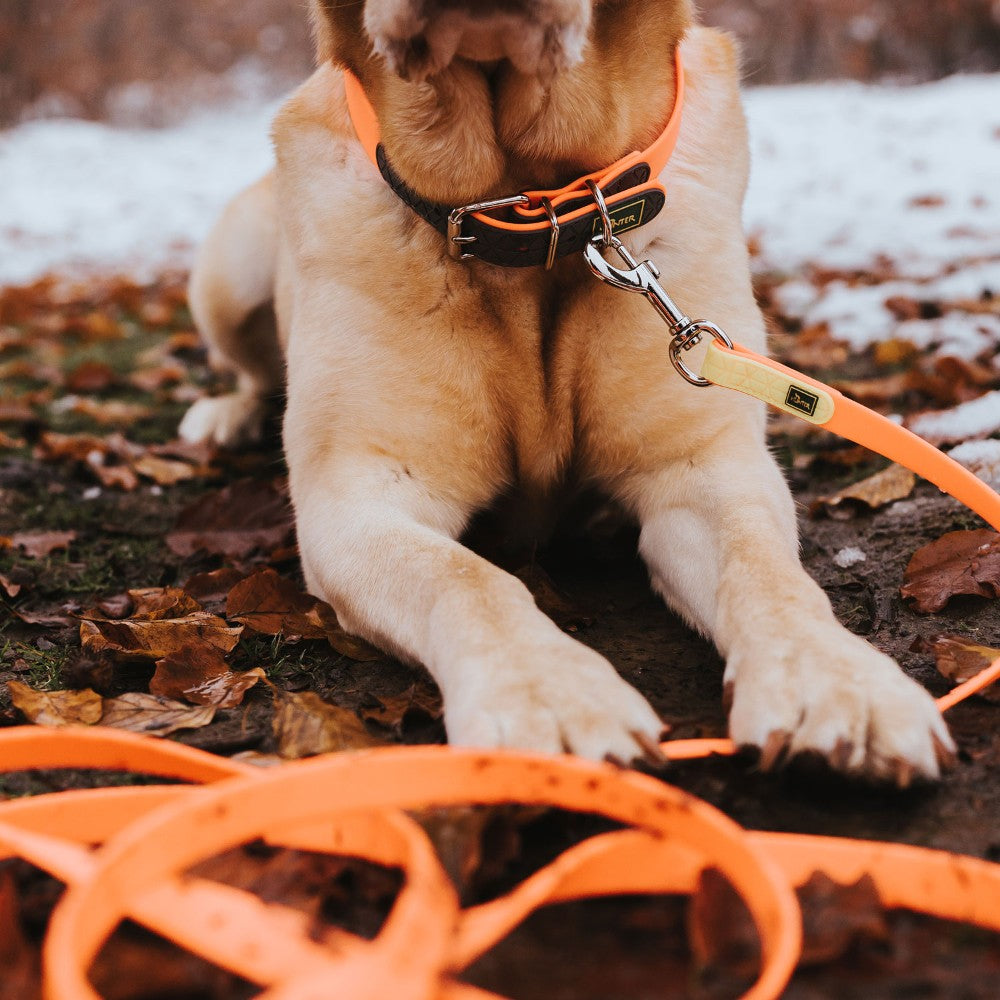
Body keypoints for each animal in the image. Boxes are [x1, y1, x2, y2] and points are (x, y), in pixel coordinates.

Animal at [180, 0, 952, 780]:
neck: (534, 213)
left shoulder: (701, 465)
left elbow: (764, 568)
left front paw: (837, 680)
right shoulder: (357, 493)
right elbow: (468, 579)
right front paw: (548, 695)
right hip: (229, 271)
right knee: (252, 369)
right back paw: (225, 415)